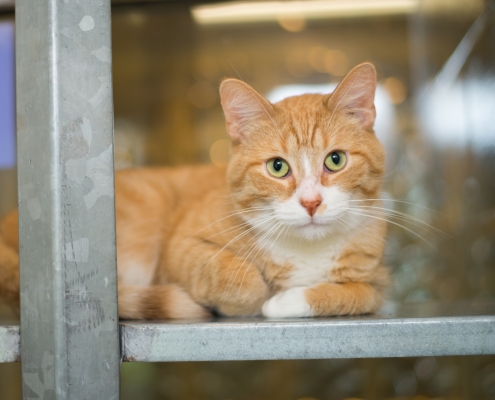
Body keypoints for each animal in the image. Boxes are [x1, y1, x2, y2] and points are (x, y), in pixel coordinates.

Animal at [0, 61, 388, 318]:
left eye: (335, 160)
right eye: (277, 167)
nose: (311, 202)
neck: (305, 250)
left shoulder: (376, 286)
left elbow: (354, 295)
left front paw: (287, 300)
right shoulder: (181, 248)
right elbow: (241, 279)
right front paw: (260, 297)